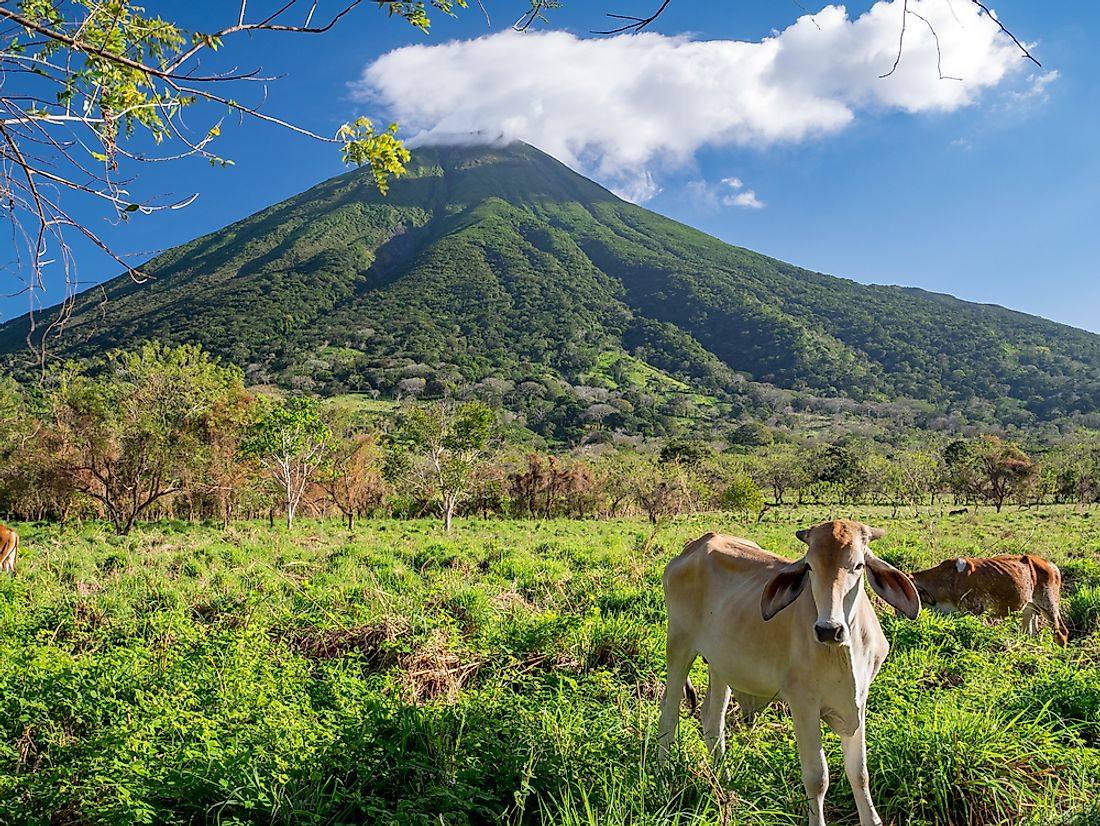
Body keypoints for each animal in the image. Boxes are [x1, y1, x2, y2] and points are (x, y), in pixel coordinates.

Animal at [660, 523, 919, 826]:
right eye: (809, 567)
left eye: (858, 565)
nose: (829, 629)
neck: (843, 652)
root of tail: (694, 547)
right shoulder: (803, 703)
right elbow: (817, 777)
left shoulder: (859, 701)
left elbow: (860, 772)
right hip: (679, 645)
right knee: (669, 713)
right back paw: (664, 778)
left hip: (721, 665)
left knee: (712, 720)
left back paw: (724, 782)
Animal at [906, 556, 1069, 646]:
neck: (948, 580)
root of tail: (1052, 565)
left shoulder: (974, 611)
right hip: (1029, 609)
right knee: (1030, 635)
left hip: (1049, 605)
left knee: (1061, 634)